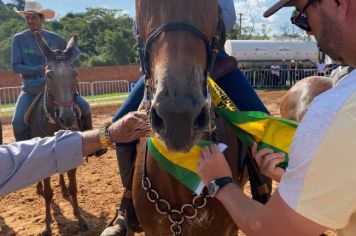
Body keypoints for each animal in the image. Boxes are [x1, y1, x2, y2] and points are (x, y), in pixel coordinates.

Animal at [28, 33, 88, 236]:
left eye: (75, 74)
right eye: (48, 75)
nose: (67, 118)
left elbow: (74, 187)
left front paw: (80, 218)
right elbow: (48, 194)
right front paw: (47, 225)